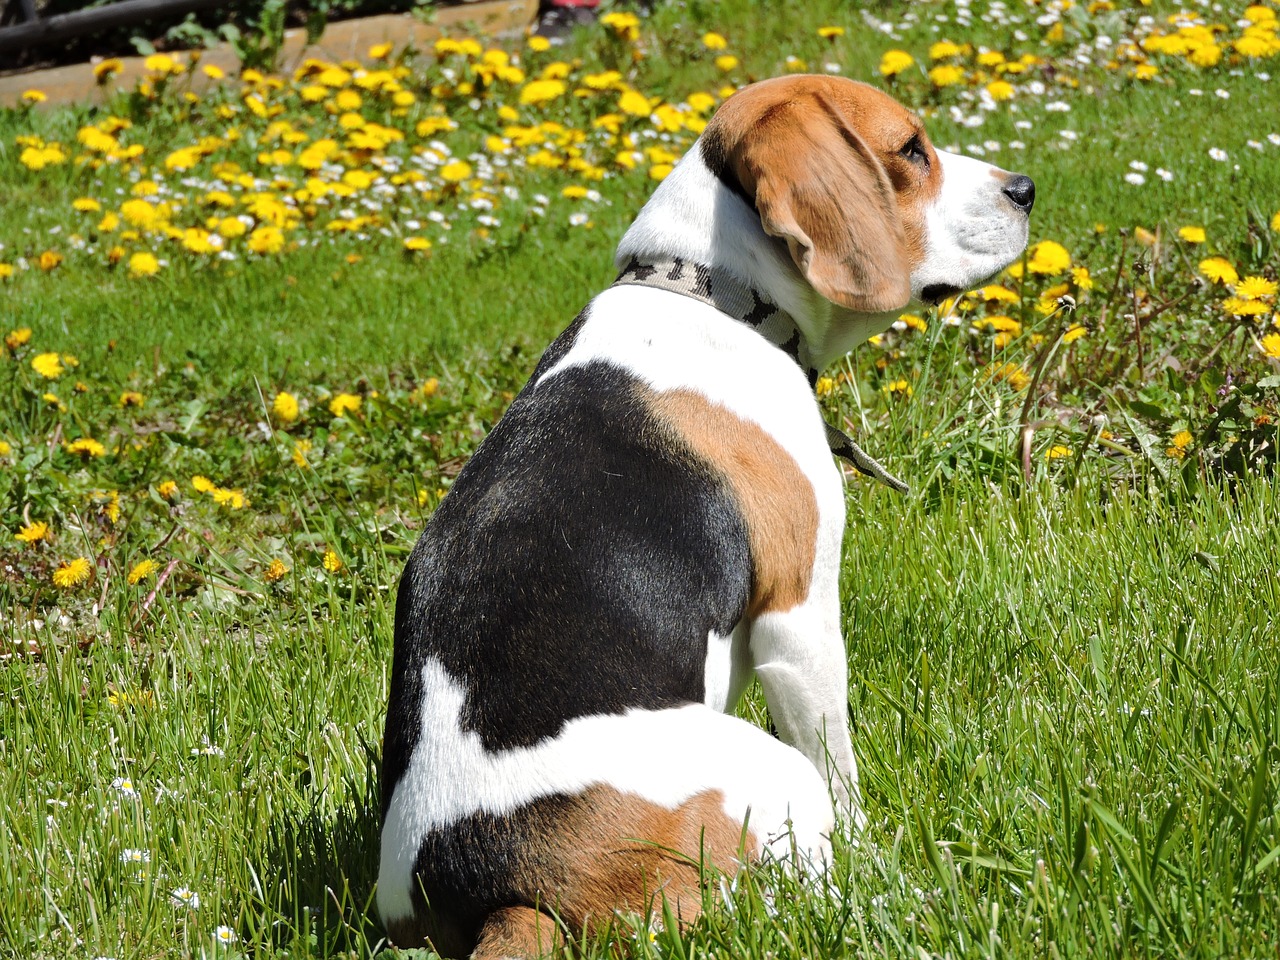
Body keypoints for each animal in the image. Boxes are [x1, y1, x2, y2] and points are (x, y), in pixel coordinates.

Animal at [373, 77, 1034, 960]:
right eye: (910, 151)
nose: (1025, 189)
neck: (711, 293)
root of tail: (512, 895)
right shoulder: (799, 621)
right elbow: (842, 769)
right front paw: (876, 846)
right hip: (771, 772)